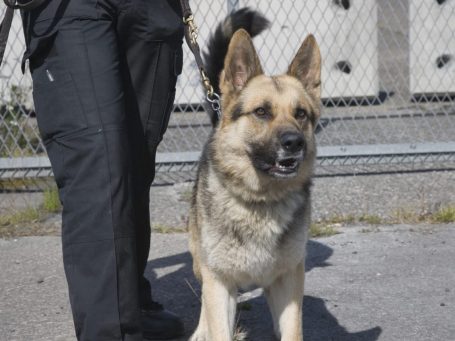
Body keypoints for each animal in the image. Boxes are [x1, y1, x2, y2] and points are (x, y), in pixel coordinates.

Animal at [189, 7, 324, 340]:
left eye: (300, 114)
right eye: (261, 112)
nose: (295, 143)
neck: (260, 201)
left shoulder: (289, 280)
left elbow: (292, 330)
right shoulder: (219, 282)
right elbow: (218, 324)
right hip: (201, 263)